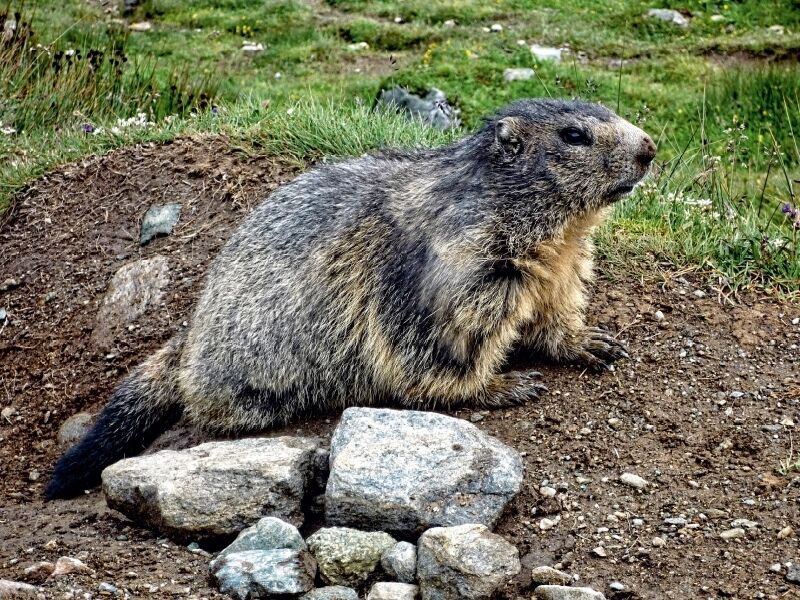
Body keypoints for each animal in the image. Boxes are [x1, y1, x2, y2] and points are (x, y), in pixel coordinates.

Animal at [46, 98, 656, 499]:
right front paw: (500, 384)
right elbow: (444, 335)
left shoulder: (564, 263)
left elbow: (556, 305)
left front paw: (587, 341)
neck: (557, 231)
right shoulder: (469, 262)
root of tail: (187, 336)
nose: (651, 148)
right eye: (574, 136)